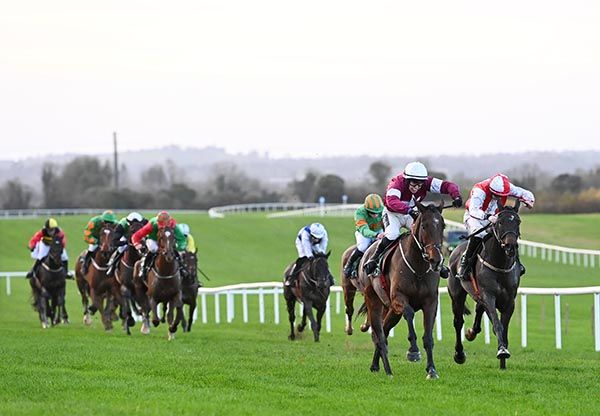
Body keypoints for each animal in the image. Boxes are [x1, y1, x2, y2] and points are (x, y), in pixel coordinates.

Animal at [358, 200, 448, 378]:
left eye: (442, 225)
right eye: (424, 226)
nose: (435, 259)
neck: (418, 267)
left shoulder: (431, 302)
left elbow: (428, 337)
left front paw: (431, 370)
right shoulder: (398, 298)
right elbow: (409, 313)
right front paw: (413, 351)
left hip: (391, 310)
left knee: (385, 330)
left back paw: (375, 365)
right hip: (374, 300)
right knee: (379, 334)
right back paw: (387, 369)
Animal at [448, 200, 524, 368]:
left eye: (518, 221)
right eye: (500, 222)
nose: (510, 246)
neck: (500, 265)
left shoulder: (510, 300)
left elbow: (503, 327)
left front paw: (503, 358)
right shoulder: (489, 295)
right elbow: (497, 324)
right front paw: (502, 351)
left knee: (478, 309)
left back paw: (471, 332)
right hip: (457, 294)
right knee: (458, 322)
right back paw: (459, 354)